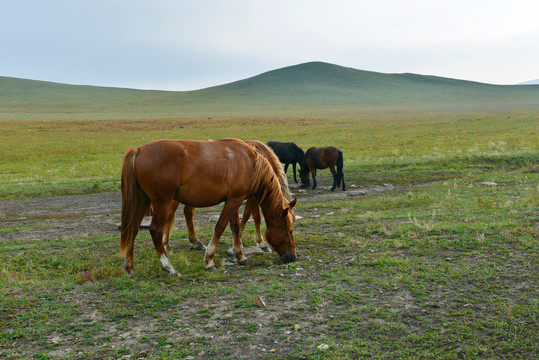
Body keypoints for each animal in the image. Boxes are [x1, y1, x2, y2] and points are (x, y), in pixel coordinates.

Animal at [120, 138, 300, 276]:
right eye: (289, 231)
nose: (293, 256)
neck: (251, 162)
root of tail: (138, 150)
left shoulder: (235, 199)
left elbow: (235, 226)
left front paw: (240, 255)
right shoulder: (235, 200)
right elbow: (220, 227)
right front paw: (209, 261)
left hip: (142, 201)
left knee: (133, 228)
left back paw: (130, 267)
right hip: (161, 202)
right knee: (155, 230)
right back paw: (169, 267)